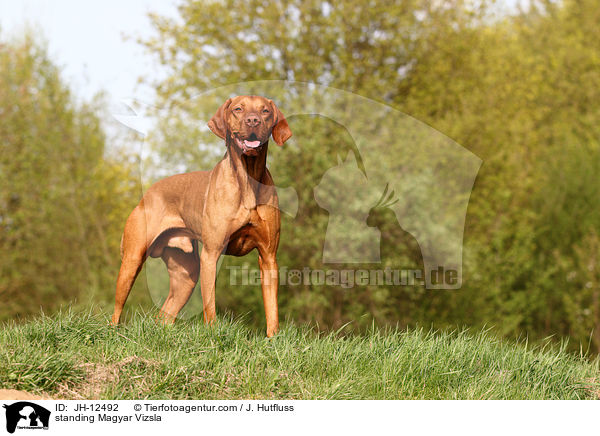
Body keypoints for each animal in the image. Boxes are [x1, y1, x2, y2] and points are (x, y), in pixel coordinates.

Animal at [112, 96, 292, 338]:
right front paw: (213, 335)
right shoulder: (211, 254)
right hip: (132, 259)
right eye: (238, 109)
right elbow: (210, 305)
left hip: (186, 274)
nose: (253, 120)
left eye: (265, 111)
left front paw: (273, 339)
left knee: (164, 315)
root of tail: (148, 192)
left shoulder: (269, 256)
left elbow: (272, 308)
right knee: (117, 309)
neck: (248, 178)